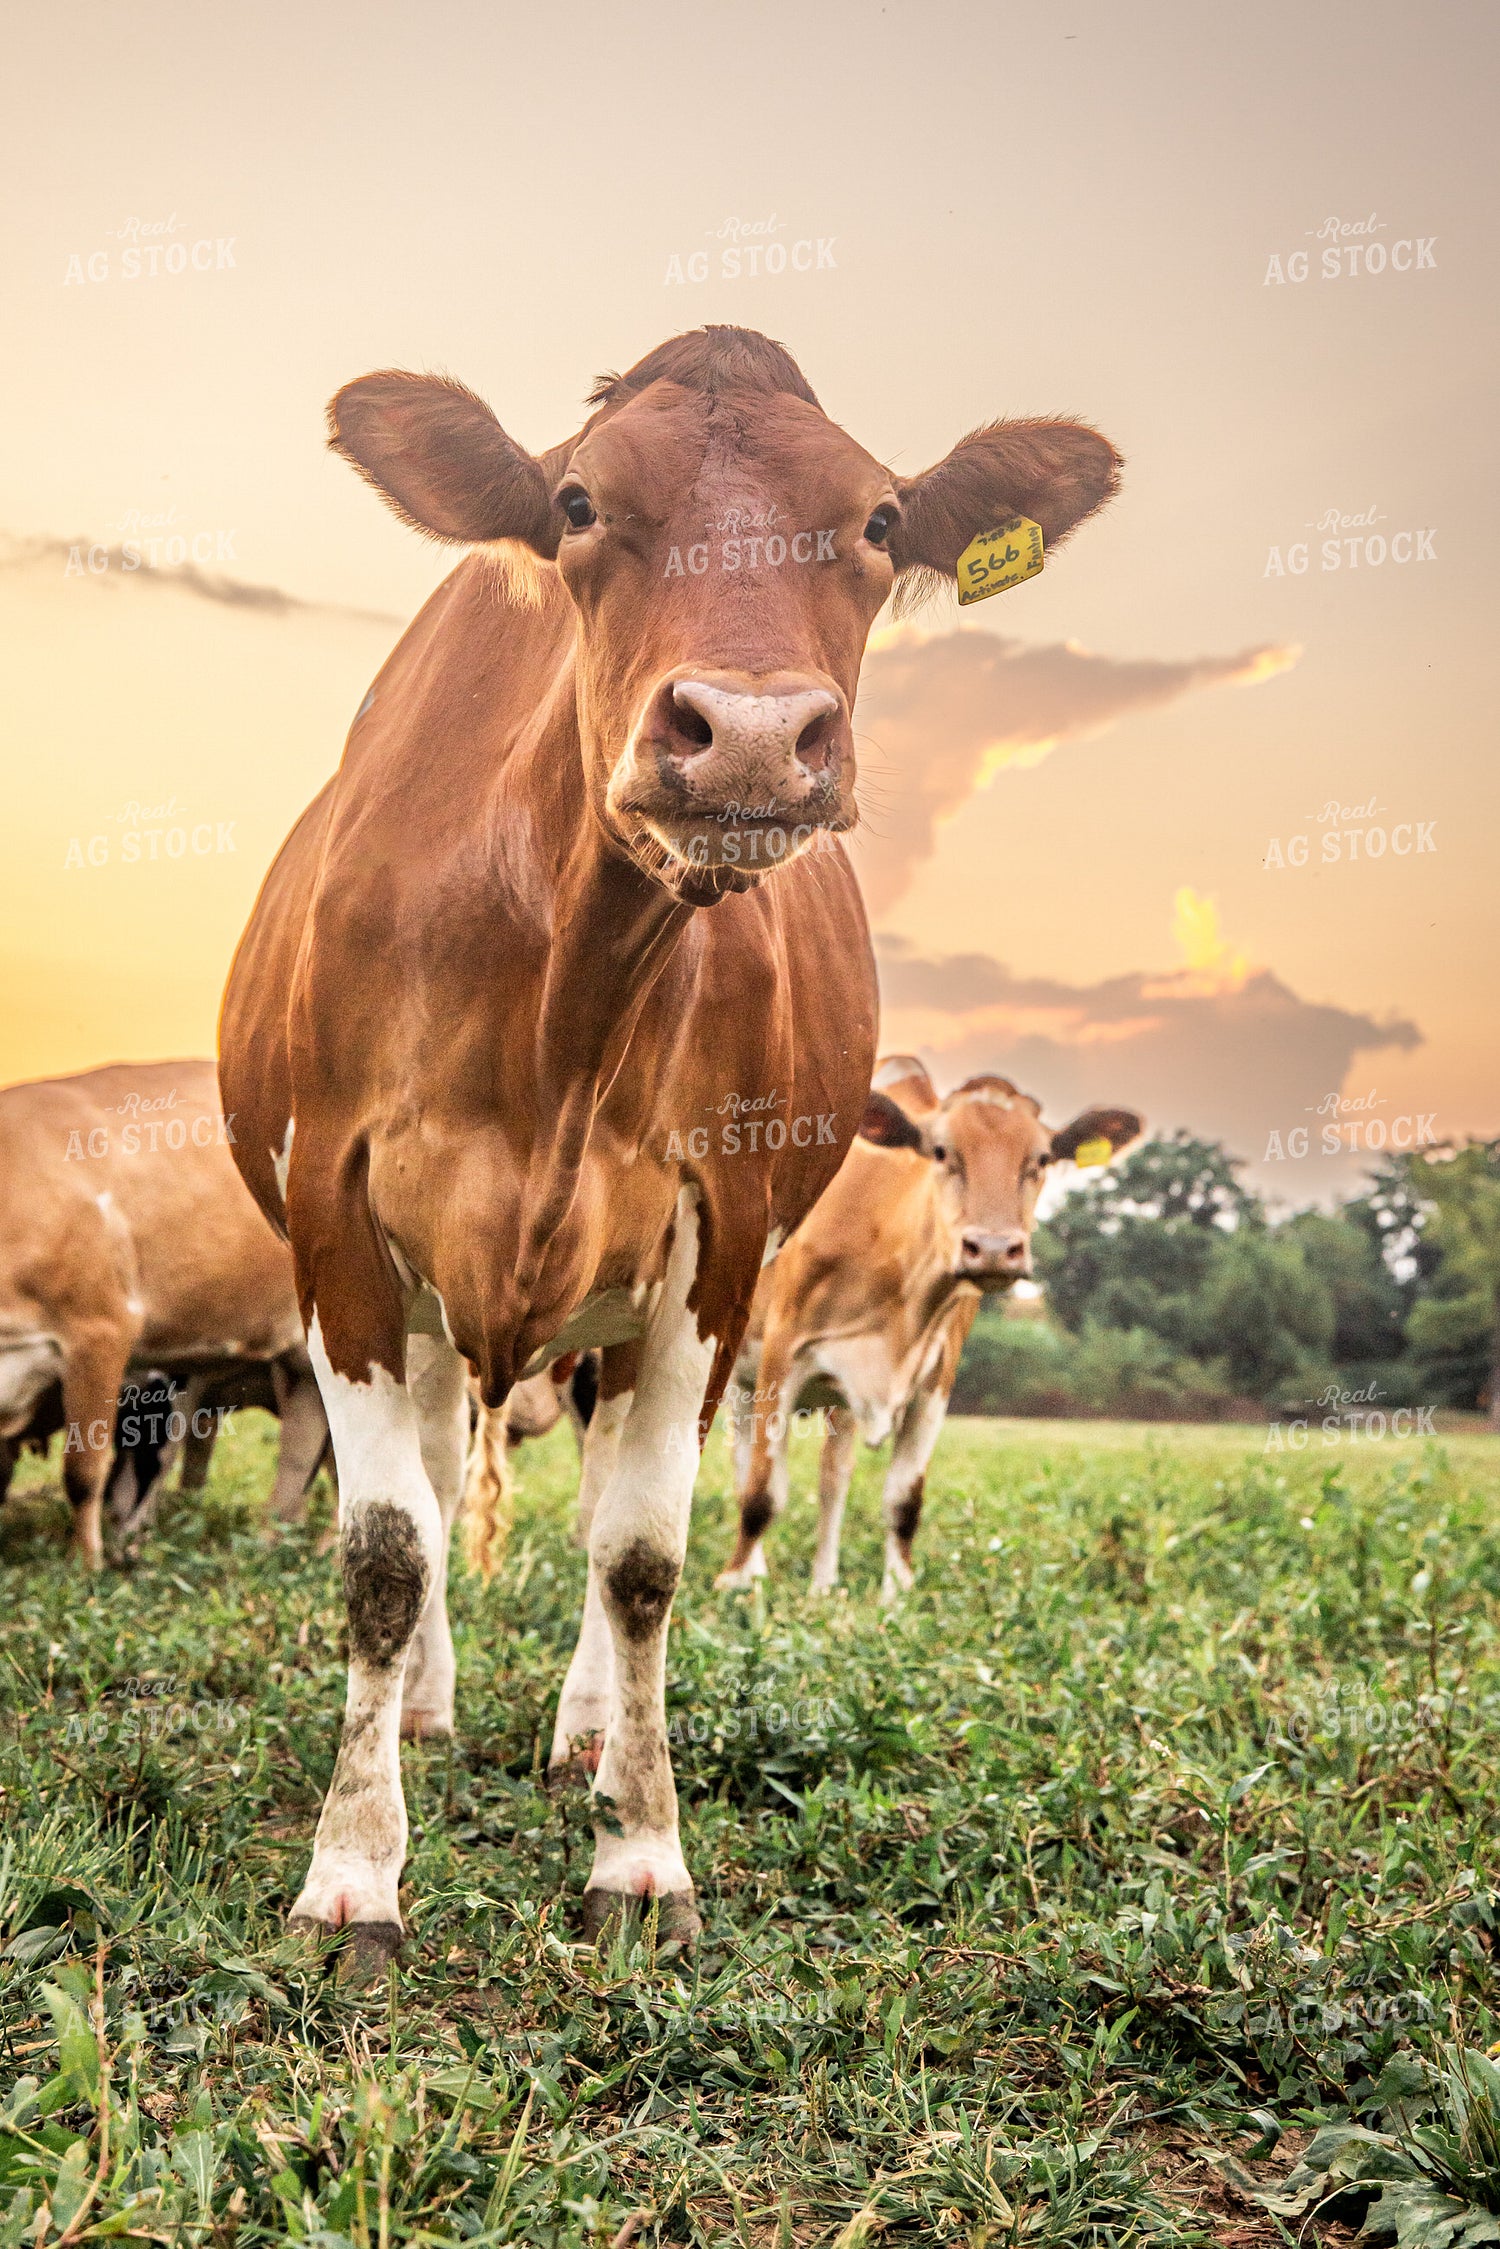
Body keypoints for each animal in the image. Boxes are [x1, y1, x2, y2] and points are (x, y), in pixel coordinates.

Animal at [0, 1059, 330, 1565]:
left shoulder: (102, 1331)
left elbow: (84, 1469)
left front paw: (87, 1563)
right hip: (299, 1362)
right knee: (304, 1445)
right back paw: (274, 1541)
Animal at [715, 1058, 1142, 1601]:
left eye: (1042, 1157)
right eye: (941, 1151)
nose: (994, 1248)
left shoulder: (935, 1379)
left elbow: (902, 1501)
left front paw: (895, 1595)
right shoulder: (780, 1358)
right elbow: (761, 1493)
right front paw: (735, 1581)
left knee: (835, 1473)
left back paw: (823, 1583)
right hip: (737, 1371)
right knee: (742, 1459)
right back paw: (752, 1572)